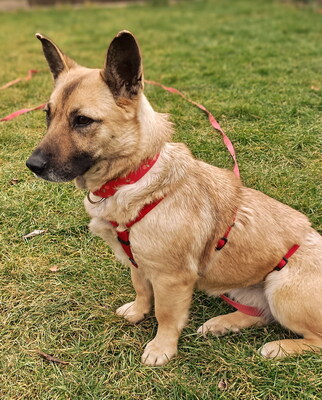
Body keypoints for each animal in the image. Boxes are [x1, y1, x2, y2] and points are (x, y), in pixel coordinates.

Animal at [27, 31, 322, 366]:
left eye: (82, 120)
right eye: (48, 115)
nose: (32, 165)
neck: (134, 177)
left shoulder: (172, 279)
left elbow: (165, 314)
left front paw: (161, 348)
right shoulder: (139, 264)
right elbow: (142, 291)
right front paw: (138, 312)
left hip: (281, 288)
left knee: (313, 337)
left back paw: (280, 347)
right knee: (261, 314)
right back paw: (223, 324)